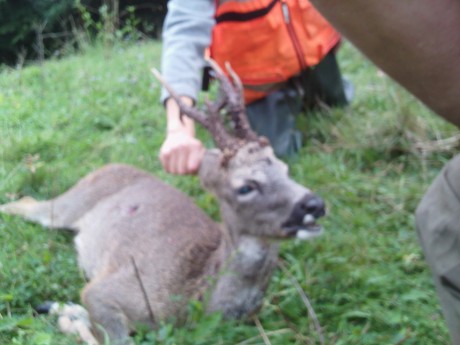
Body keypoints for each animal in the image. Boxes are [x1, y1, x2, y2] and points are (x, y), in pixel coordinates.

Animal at [0, 61, 326, 344]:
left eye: (285, 168)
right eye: (246, 186)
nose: (315, 204)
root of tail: (107, 166)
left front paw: (65, 311)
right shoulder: (107, 289)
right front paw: (66, 313)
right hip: (69, 206)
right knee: (27, 202)